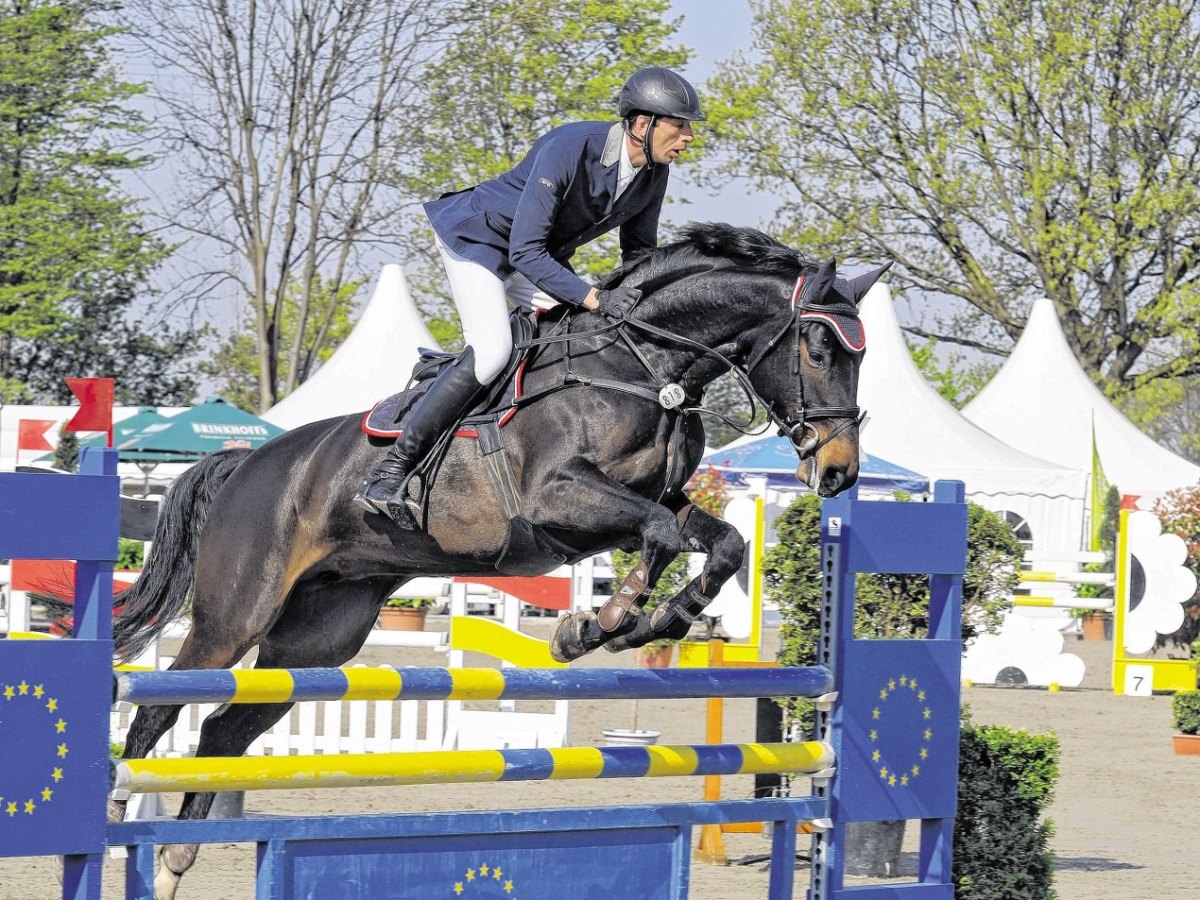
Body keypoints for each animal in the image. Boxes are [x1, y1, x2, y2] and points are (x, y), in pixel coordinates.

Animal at [88, 222, 888, 897]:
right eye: (820, 351)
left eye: (862, 357)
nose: (840, 472)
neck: (643, 363)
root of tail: (245, 461)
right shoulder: (561, 501)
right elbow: (661, 535)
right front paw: (603, 623)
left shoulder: (641, 505)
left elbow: (720, 542)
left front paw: (654, 620)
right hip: (236, 615)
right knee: (156, 715)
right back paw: (122, 818)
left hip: (317, 637)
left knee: (224, 731)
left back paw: (175, 862)